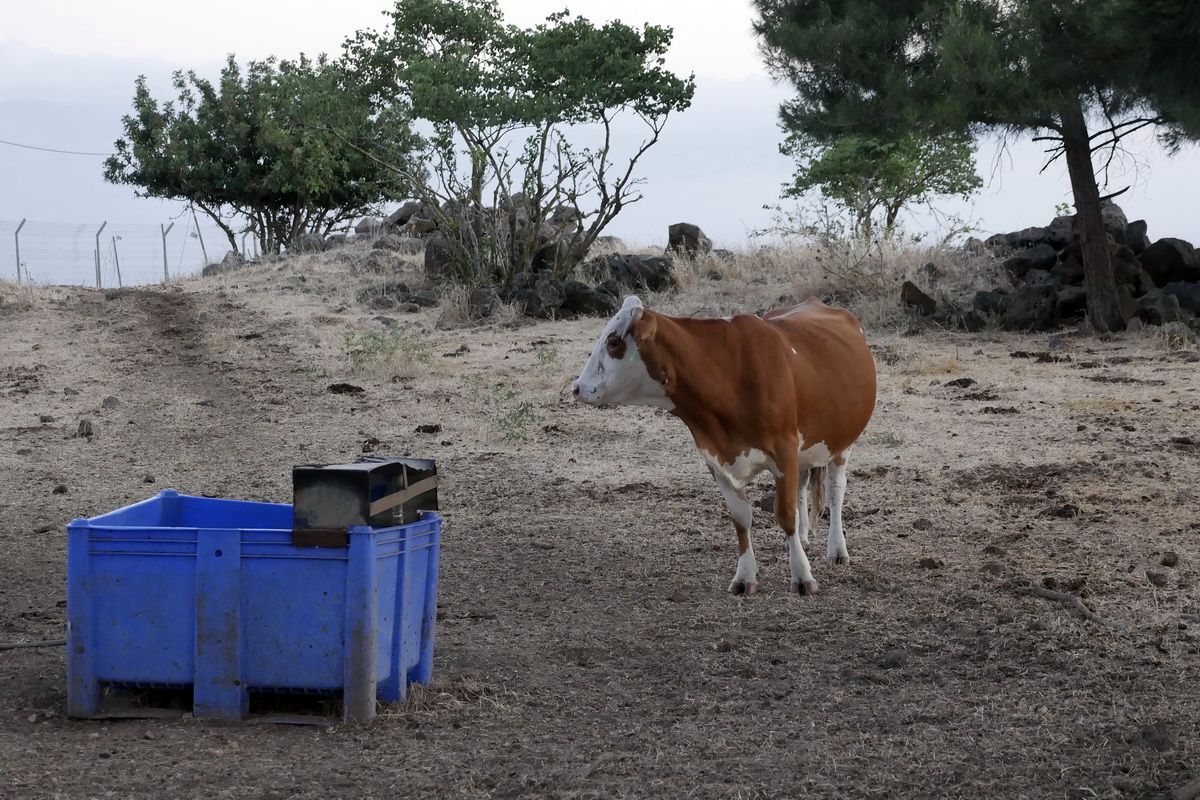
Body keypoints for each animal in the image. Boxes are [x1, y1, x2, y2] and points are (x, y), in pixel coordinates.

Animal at [566, 293, 878, 594]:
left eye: (614, 342)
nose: (577, 388)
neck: (728, 374)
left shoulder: (784, 451)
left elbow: (785, 513)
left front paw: (802, 576)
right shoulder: (714, 458)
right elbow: (741, 518)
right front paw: (745, 578)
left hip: (842, 442)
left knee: (836, 490)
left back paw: (836, 550)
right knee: (802, 485)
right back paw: (801, 540)